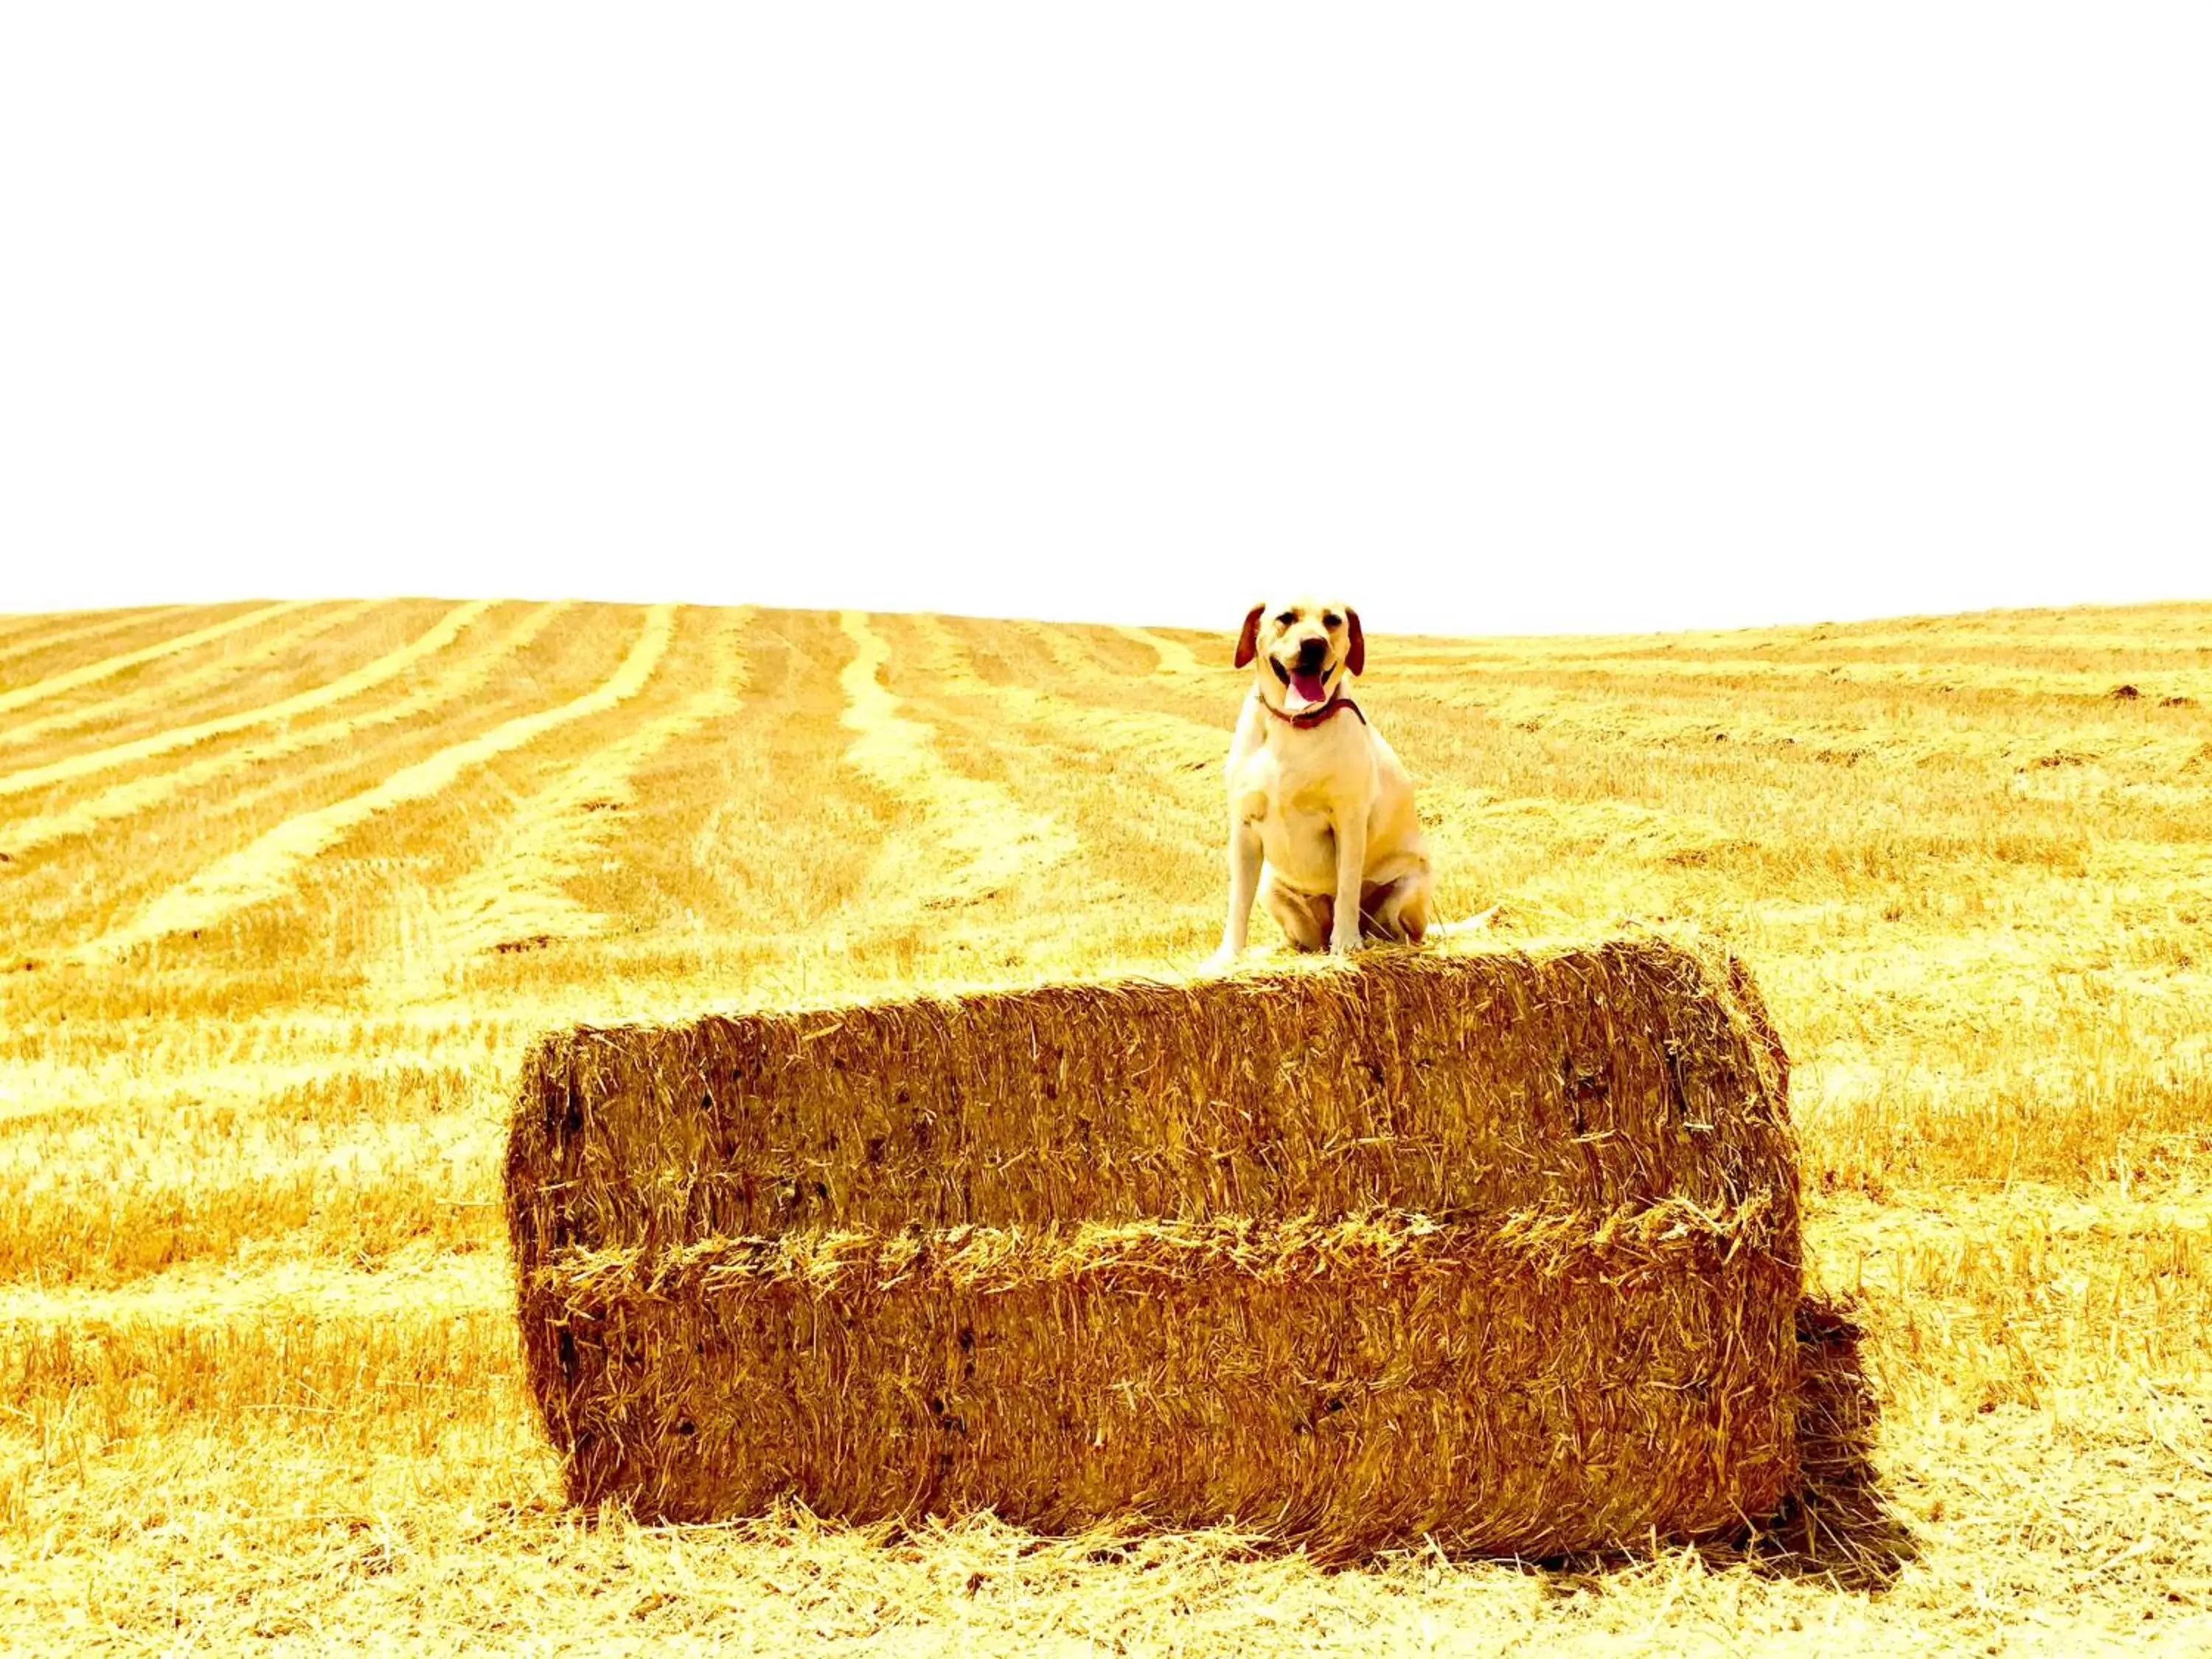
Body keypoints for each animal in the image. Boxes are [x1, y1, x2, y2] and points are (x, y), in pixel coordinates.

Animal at [1212, 597, 1433, 969]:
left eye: (1333, 621)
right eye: (1286, 618)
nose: (1314, 645)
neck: (1295, 724)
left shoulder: (1348, 821)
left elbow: (1346, 889)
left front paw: (1345, 944)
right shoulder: (1244, 827)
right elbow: (1237, 904)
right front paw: (1228, 957)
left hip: (1407, 889)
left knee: (1397, 933)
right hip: (1273, 890)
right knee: (1302, 941)